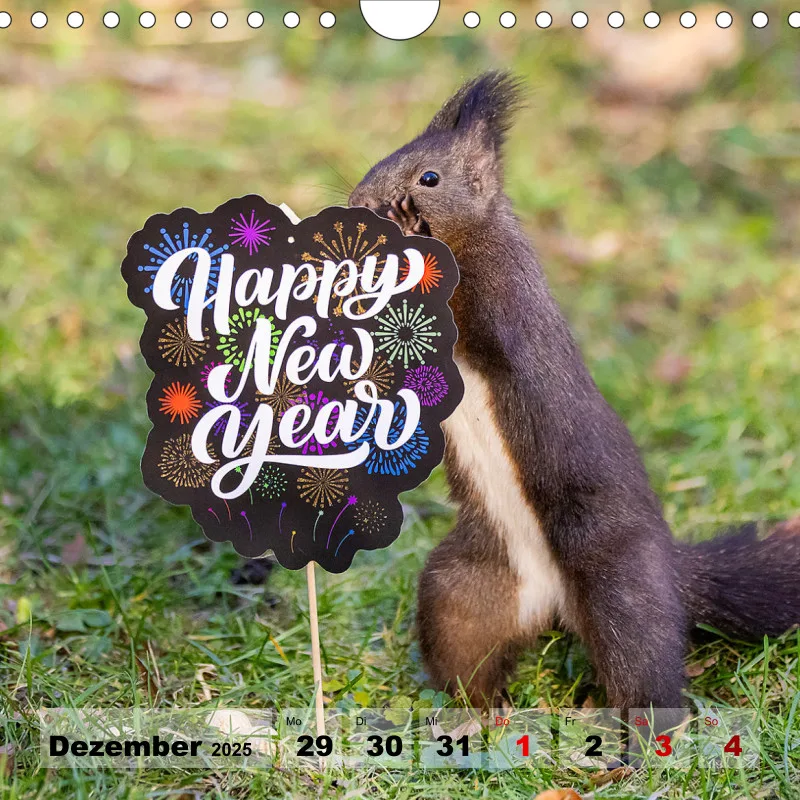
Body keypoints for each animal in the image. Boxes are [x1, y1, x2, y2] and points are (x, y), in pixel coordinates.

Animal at [348, 72, 800, 713]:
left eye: (428, 178)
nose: (361, 202)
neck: (473, 239)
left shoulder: (504, 302)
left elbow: (465, 328)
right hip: (463, 588)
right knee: (467, 654)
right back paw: (477, 713)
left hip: (622, 589)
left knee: (643, 666)